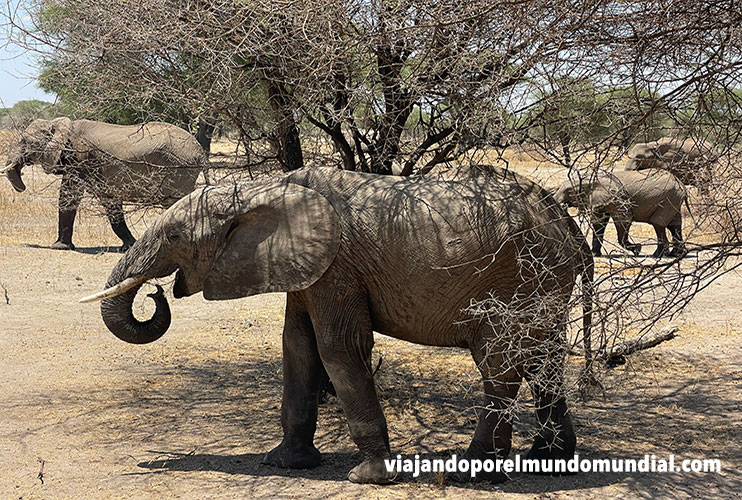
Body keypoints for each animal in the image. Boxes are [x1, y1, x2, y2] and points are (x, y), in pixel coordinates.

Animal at [2, 116, 209, 250]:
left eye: (24, 141)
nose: (22, 186)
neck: (60, 124)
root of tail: (200, 151)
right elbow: (104, 200)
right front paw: (129, 246)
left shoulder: (80, 158)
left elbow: (70, 195)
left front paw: (59, 247)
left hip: (179, 169)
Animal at [81, 166, 596, 482]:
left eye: (173, 235)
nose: (155, 292)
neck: (260, 189)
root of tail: (564, 220)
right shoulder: (308, 267)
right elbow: (297, 346)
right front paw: (286, 464)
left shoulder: (337, 266)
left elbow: (338, 347)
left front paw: (369, 478)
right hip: (545, 281)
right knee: (542, 360)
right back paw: (548, 459)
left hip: (515, 278)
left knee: (500, 364)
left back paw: (472, 474)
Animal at [556, 170, 688, 260]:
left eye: (568, 191)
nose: (563, 205)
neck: (591, 178)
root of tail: (682, 186)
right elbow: (599, 222)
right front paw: (595, 254)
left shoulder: (618, 198)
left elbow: (623, 220)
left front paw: (637, 250)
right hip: (673, 199)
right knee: (674, 225)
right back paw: (676, 254)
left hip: (668, 199)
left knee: (658, 223)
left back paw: (658, 255)